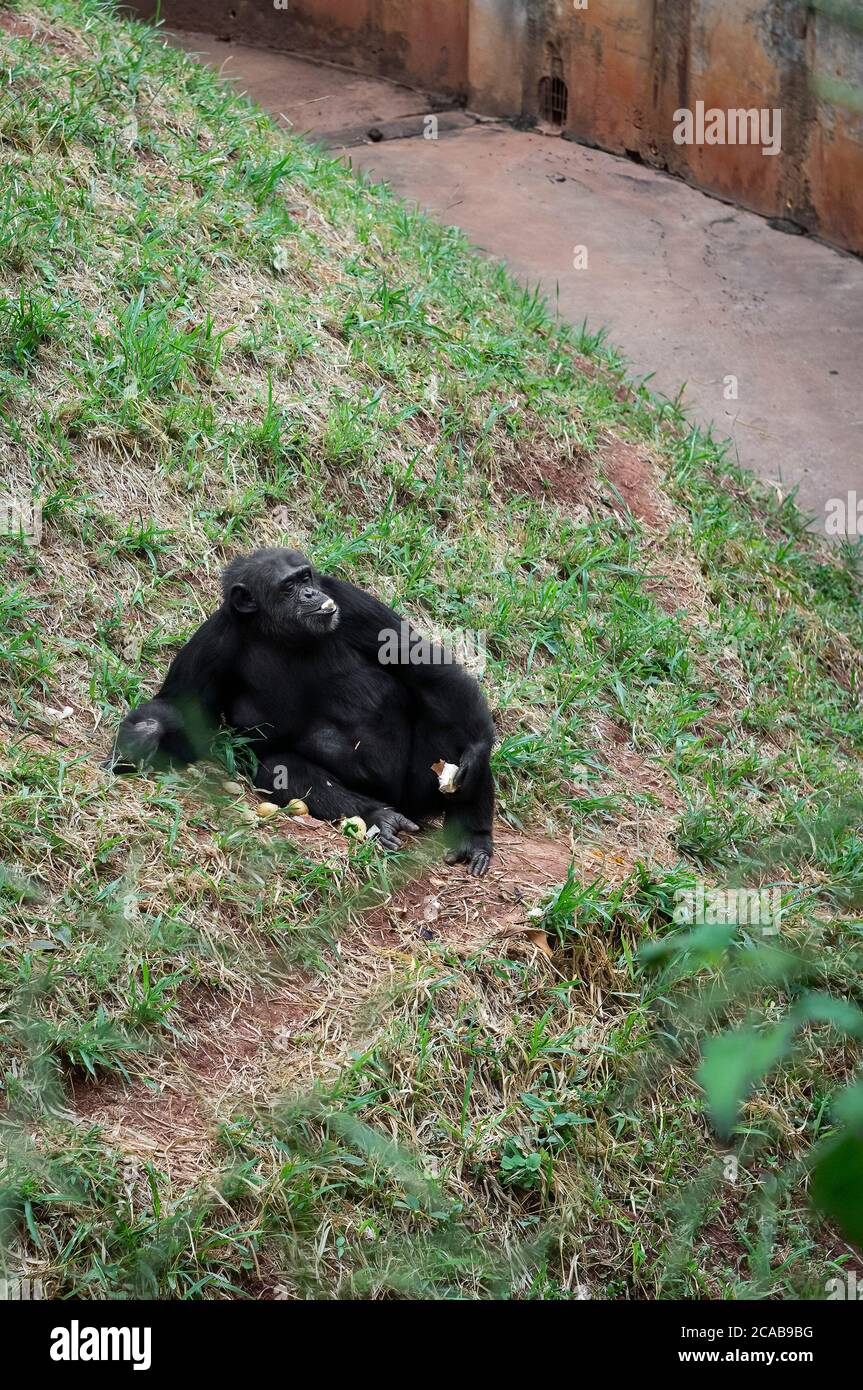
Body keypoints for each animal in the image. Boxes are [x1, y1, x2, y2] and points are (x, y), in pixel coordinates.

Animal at [111, 547, 494, 872]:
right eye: (288, 586)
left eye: (306, 577)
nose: (310, 593)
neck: (277, 632)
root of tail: (402, 804)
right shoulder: (211, 642)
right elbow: (184, 711)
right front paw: (142, 736)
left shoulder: (348, 599)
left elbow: (417, 660)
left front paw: (476, 748)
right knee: (279, 766)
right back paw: (377, 815)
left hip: (421, 785)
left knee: (444, 723)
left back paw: (472, 833)